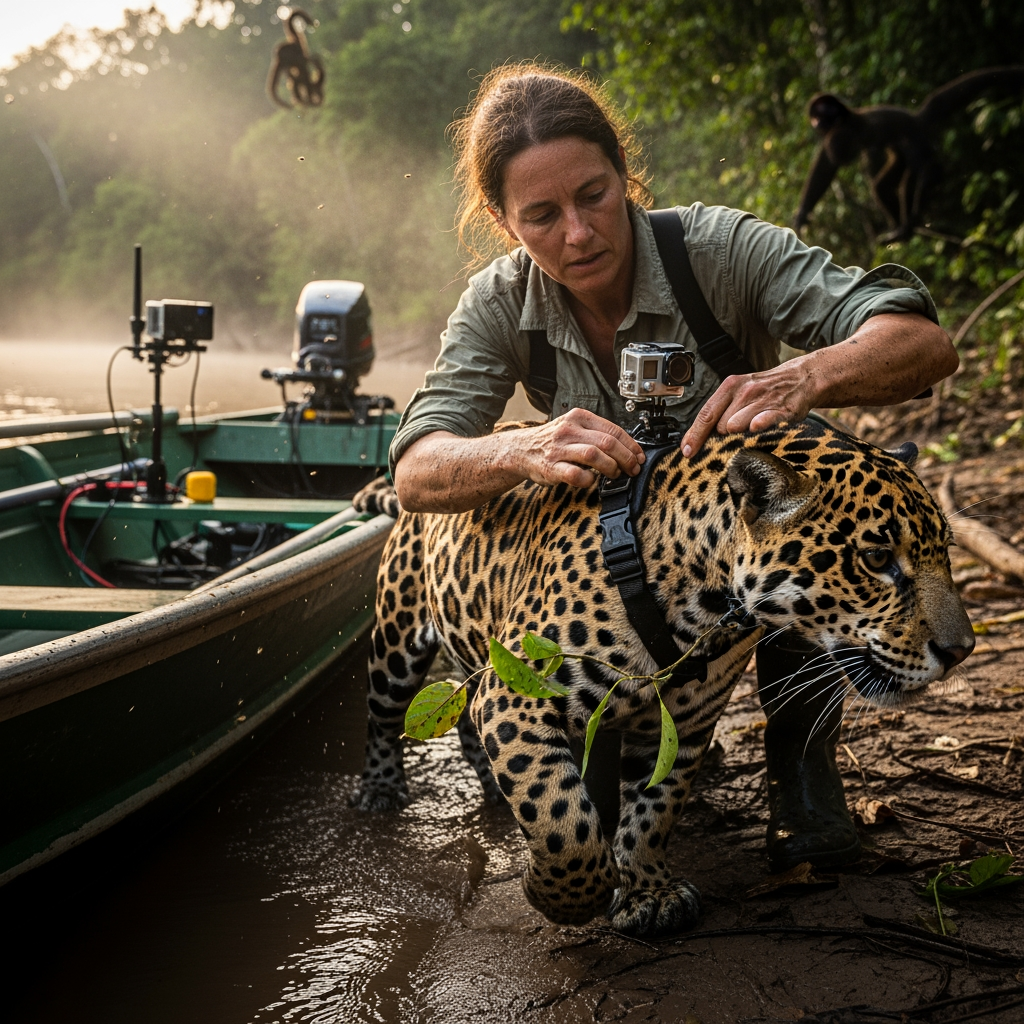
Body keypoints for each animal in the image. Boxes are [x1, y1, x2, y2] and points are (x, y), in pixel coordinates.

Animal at [350, 418, 974, 937]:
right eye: (877, 560)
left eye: (945, 552)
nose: (961, 650)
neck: (705, 596)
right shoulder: (516, 697)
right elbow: (561, 818)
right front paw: (559, 897)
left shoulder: (683, 721)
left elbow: (654, 808)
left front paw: (647, 891)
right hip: (398, 641)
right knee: (382, 715)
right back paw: (380, 790)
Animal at [794, 66, 1024, 242]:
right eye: (815, 117)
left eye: (821, 114)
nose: (817, 123)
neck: (844, 117)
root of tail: (916, 117)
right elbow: (826, 165)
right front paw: (802, 214)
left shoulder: (845, 132)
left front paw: (913, 220)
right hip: (899, 156)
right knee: (883, 185)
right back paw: (897, 228)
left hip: (913, 134)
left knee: (924, 169)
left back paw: (906, 226)